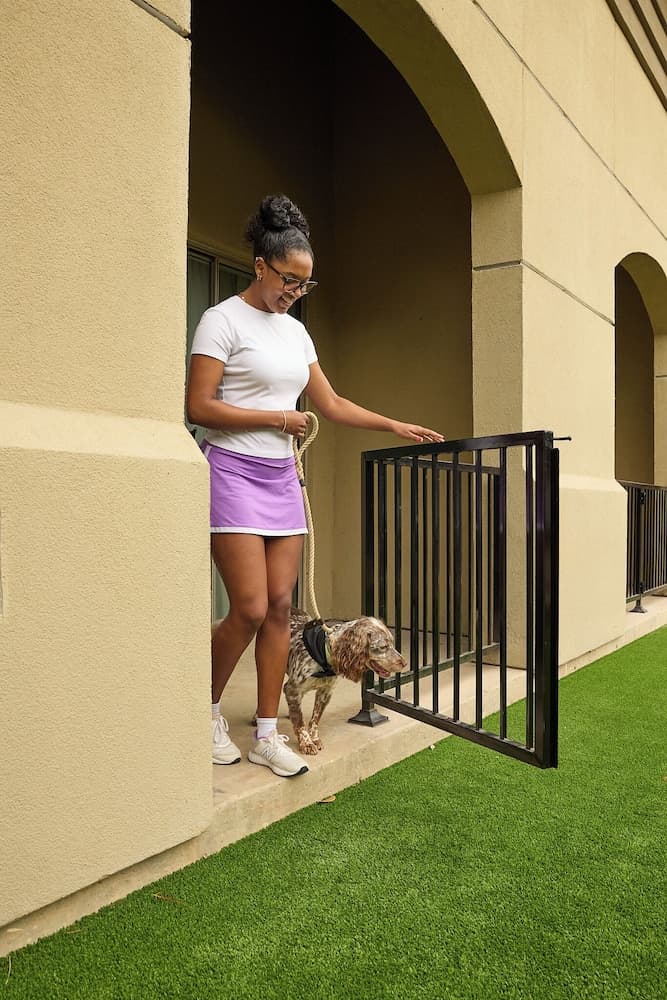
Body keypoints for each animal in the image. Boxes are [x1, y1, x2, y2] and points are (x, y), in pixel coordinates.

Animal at [285, 607, 407, 755]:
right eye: (383, 646)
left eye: (392, 643)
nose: (405, 663)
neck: (323, 654)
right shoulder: (293, 689)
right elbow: (299, 721)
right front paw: (306, 743)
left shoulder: (326, 692)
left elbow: (315, 718)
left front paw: (314, 739)